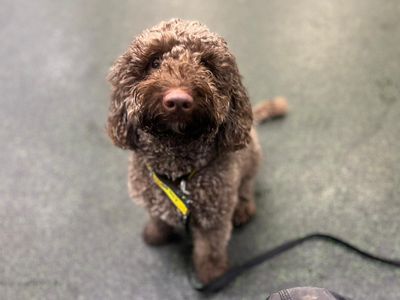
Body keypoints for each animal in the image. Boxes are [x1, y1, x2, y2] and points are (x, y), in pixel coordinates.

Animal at [106, 18, 288, 284]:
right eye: (155, 62)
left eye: (206, 64)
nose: (178, 100)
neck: (177, 172)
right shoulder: (152, 199)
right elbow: (157, 218)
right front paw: (156, 234)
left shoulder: (214, 217)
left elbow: (210, 249)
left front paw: (211, 275)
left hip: (250, 160)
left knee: (246, 188)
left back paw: (243, 208)